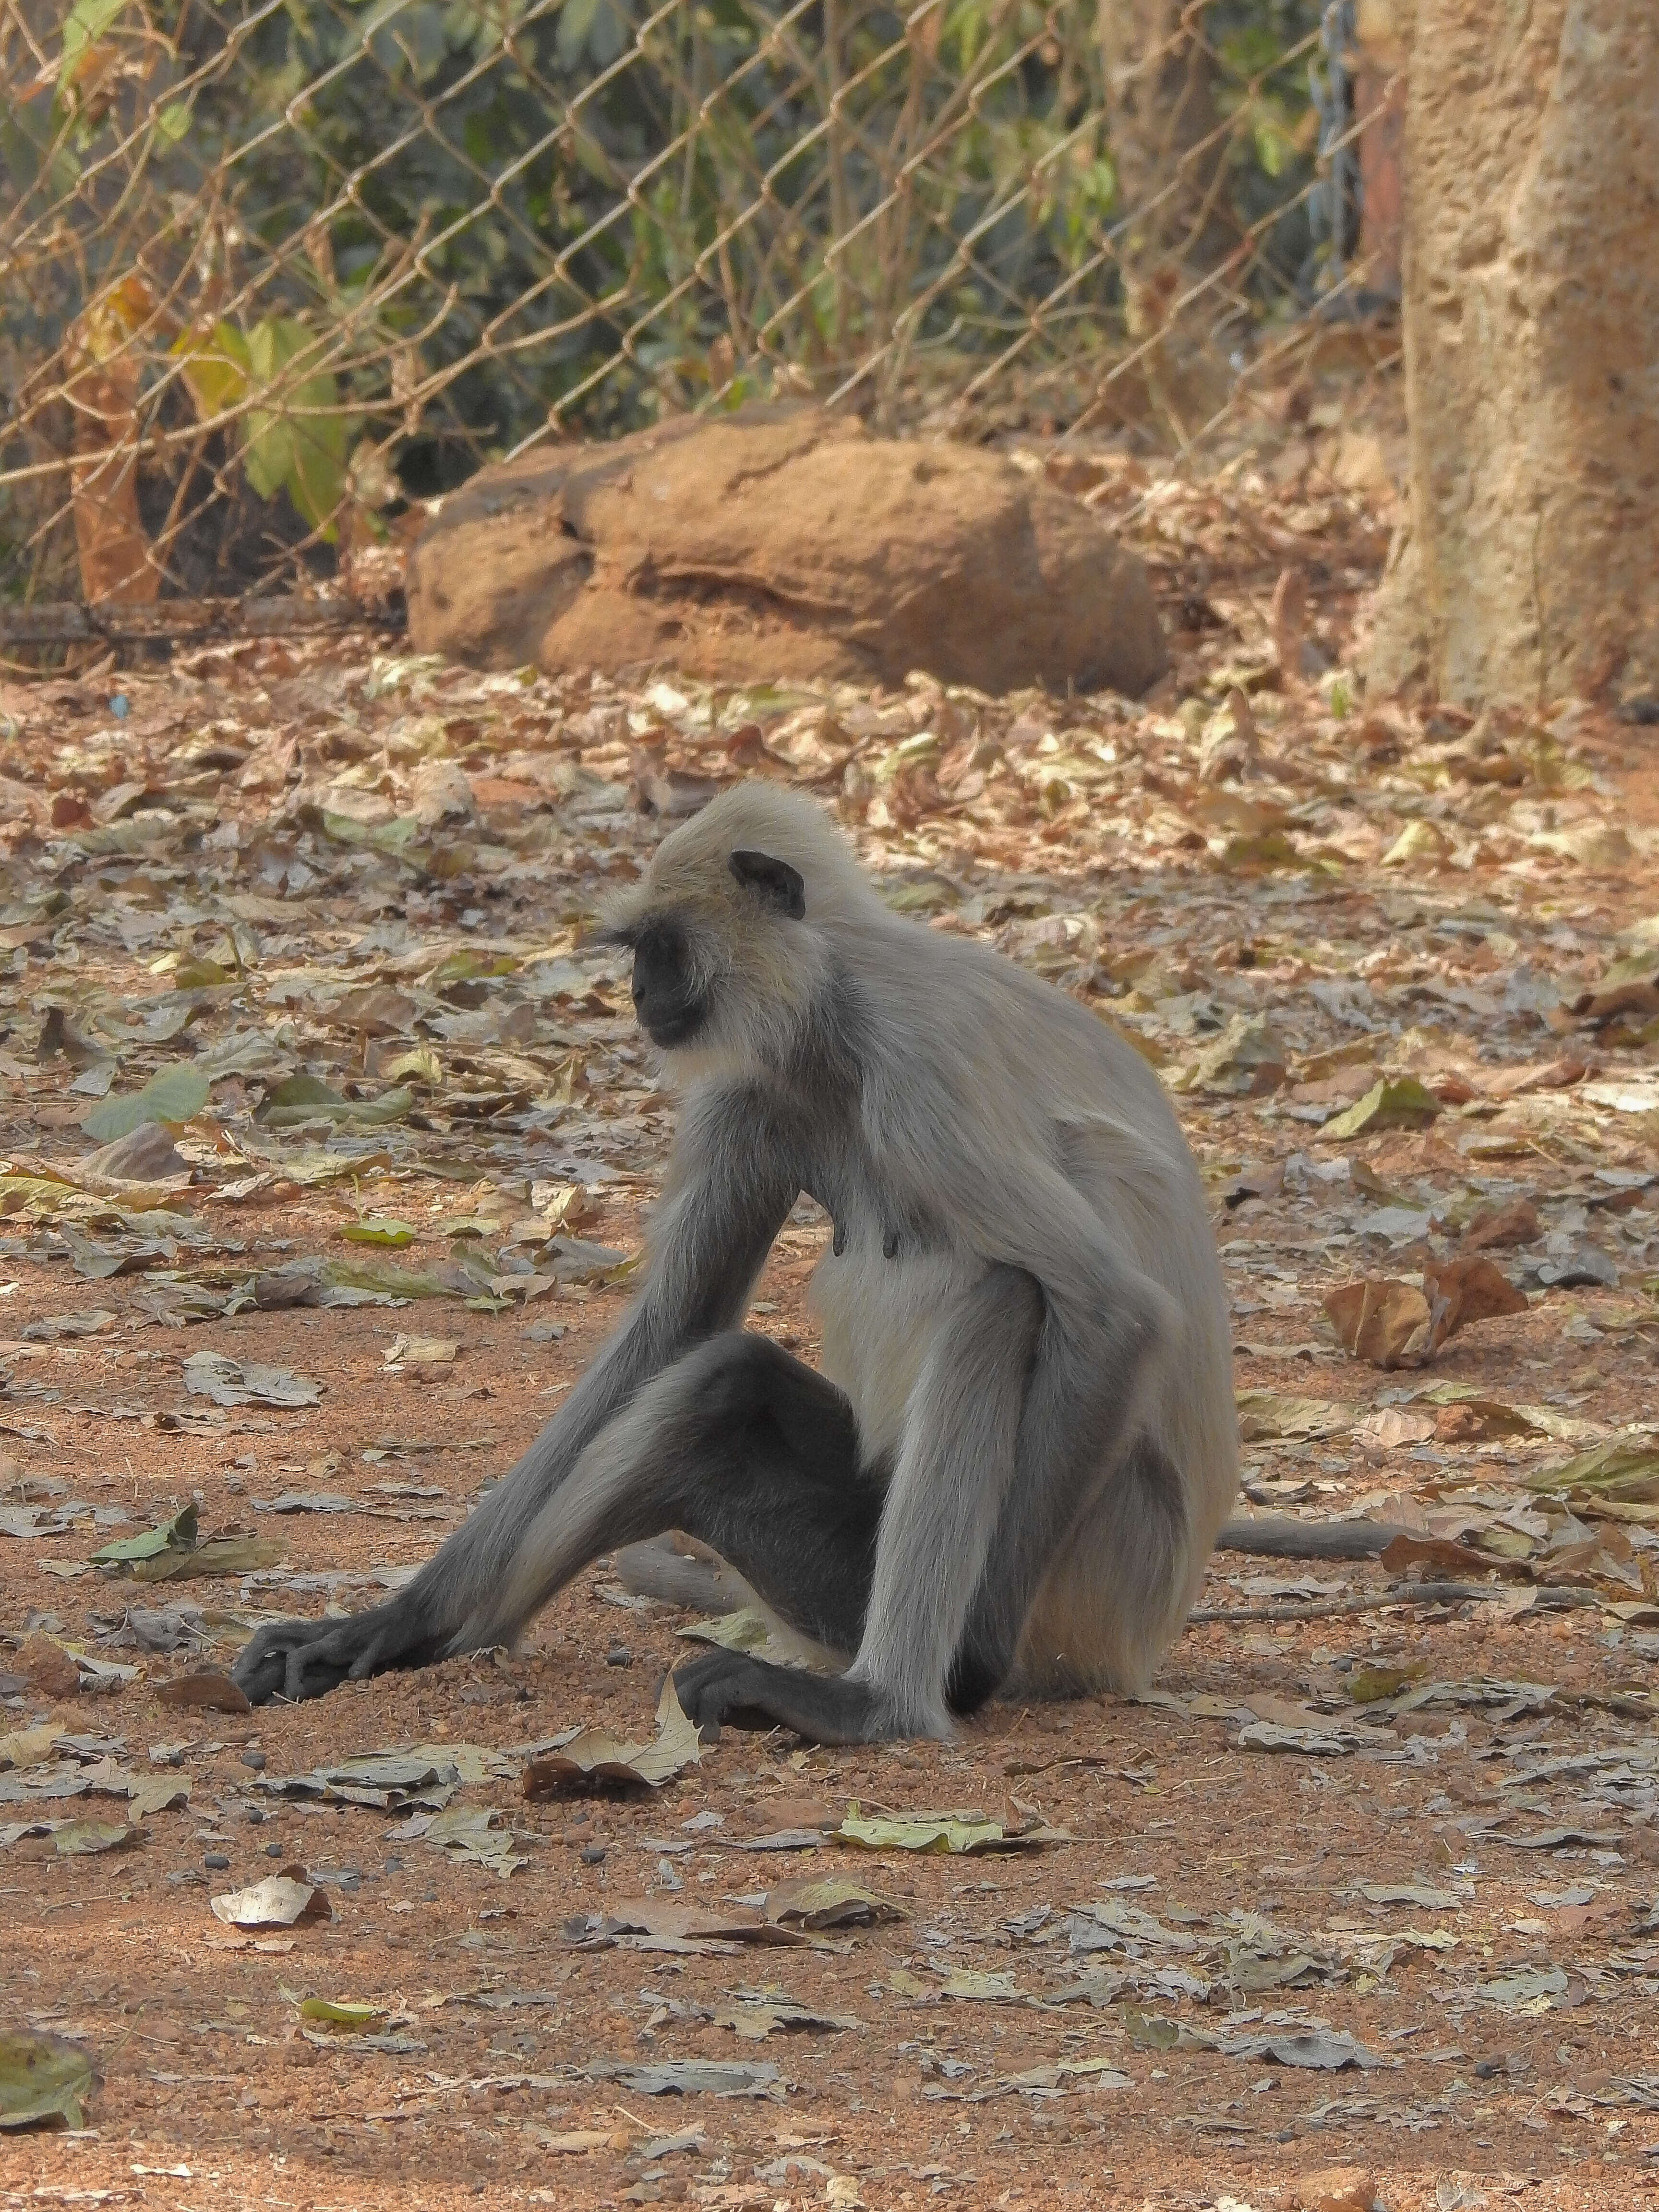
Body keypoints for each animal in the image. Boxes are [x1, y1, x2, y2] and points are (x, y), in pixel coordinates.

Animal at [240, 787, 1238, 1734]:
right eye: (637, 951)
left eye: (663, 946)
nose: (638, 993)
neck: (840, 1001)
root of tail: (1145, 1637)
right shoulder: (755, 1087)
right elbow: (671, 1328)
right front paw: (396, 1618)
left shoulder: (921, 1071)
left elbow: (1114, 1308)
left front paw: (972, 1660)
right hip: (840, 1577)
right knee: (716, 1381)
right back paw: (452, 1637)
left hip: (1090, 1579)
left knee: (1004, 1298)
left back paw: (881, 1703)